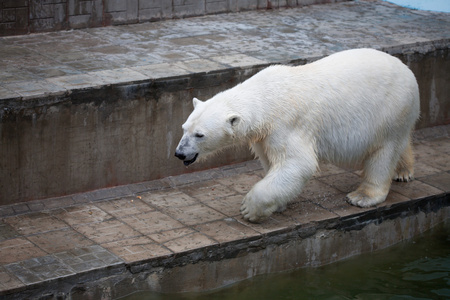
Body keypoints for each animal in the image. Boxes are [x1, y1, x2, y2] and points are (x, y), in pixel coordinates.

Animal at [174, 48, 420, 223]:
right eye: (184, 128)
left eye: (200, 135)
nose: (179, 153)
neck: (266, 98)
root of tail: (409, 71)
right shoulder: (263, 135)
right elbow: (272, 162)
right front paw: (278, 203)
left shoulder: (286, 124)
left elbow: (298, 163)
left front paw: (249, 209)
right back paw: (403, 172)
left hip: (389, 109)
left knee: (384, 151)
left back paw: (363, 196)